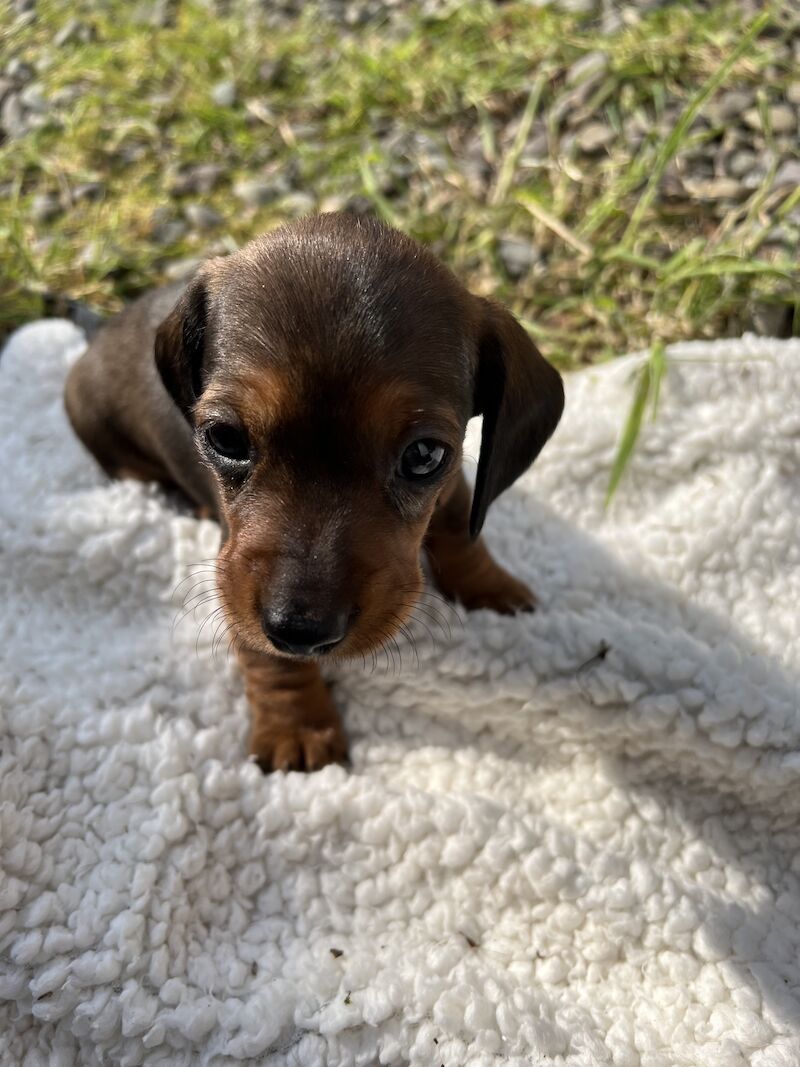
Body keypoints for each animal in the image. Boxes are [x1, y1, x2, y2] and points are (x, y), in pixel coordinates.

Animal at [64, 212, 563, 772]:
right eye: (225, 438)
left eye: (423, 455)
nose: (299, 631)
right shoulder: (234, 567)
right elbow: (270, 660)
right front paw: (297, 728)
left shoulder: (453, 484)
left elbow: (460, 530)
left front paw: (490, 587)